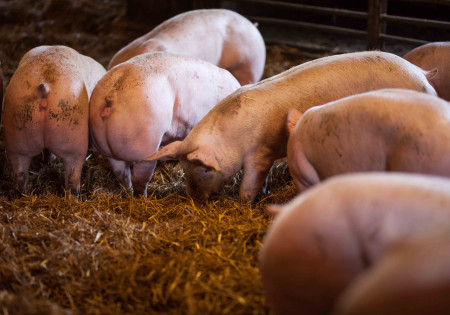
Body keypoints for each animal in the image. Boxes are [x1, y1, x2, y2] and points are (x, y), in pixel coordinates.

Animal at [2, 45, 106, 198]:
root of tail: (44, 87)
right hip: (73, 138)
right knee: (72, 177)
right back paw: (74, 198)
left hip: (17, 134)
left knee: (20, 174)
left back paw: (24, 194)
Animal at [89, 52, 241, 198]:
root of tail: (112, 97)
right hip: (146, 147)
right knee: (139, 179)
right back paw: (143, 199)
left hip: (108, 150)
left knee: (122, 174)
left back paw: (127, 193)